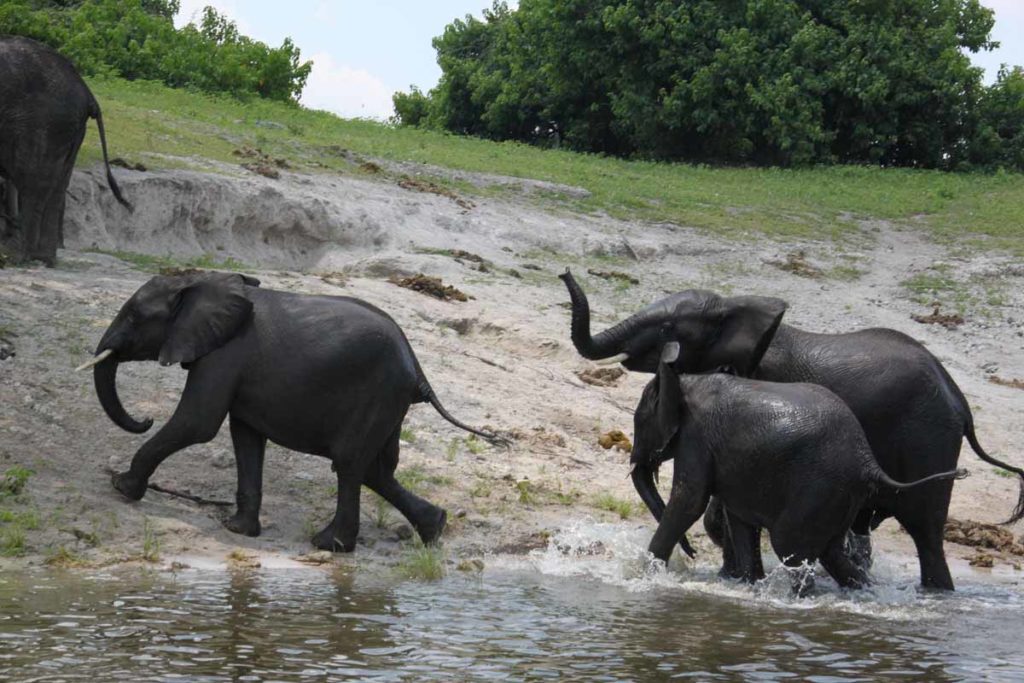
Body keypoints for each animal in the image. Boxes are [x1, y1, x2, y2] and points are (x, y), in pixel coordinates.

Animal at [0, 34, 132, 266]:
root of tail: (88, 93)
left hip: (43, 123)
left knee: (33, 182)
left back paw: (17, 257)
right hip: (66, 128)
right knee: (57, 187)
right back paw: (43, 258)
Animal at [76, 270, 503, 552]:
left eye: (134, 316)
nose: (143, 419)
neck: (202, 281)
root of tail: (418, 367)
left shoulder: (225, 355)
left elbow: (197, 423)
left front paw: (120, 487)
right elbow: (245, 436)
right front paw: (237, 530)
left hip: (377, 394)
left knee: (350, 464)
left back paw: (329, 545)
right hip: (389, 403)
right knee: (376, 470)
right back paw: (436, 529)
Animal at [626, 342, 962, 593]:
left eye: (639, 421)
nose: (692, 554)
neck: (685, 380)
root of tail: (867, 461)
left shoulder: (696, 437)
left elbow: (689, 501)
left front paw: (643, 575)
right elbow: (738, 519)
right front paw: (749, 585)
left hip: (820, 488)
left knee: (791, 546)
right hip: (839, 495)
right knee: (830, 552)